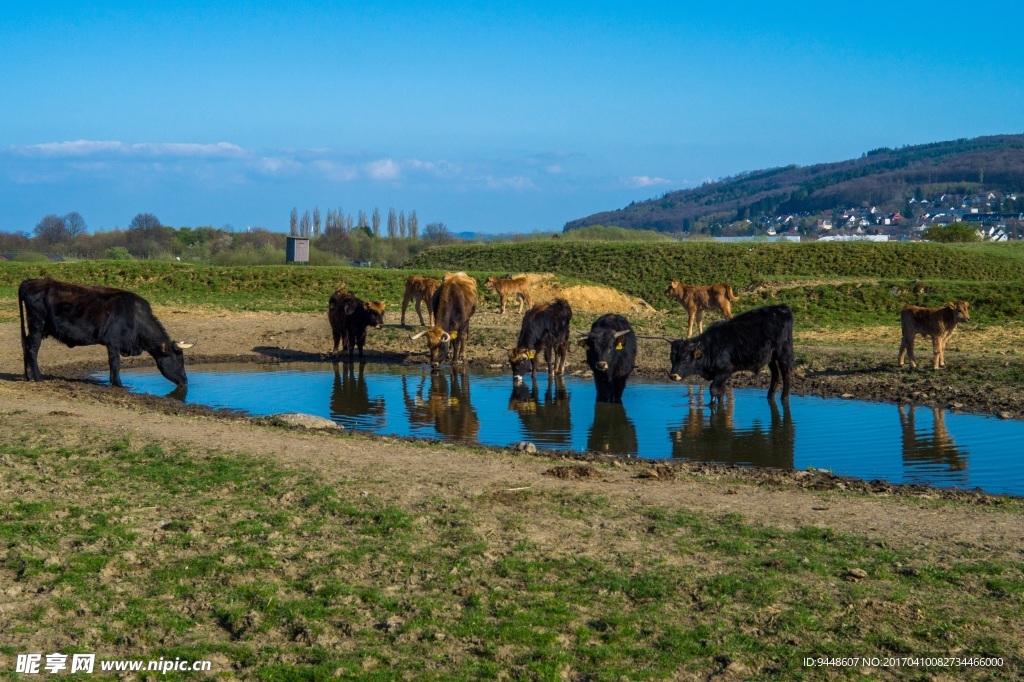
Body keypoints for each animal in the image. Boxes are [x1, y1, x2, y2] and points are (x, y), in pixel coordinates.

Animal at [18, 278, 193, 387]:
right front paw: (118, 384)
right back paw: (38, 377)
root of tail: (33, 281)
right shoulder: (113, 342)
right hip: (37, 324)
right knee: (32, 348)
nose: (185, 381)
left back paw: (29, 376)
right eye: (179, 361)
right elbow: (115, 363)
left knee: (26, 346)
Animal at [659, 301, 794, 401]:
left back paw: (784, 397)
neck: (710, 347)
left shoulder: (726, 370)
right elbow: (720, 392)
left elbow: (714, 390)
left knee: (786, 373)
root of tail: (781, 308)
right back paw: (770, 396)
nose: (673, 375)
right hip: (771, 357)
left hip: (783, 351)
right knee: (775, 374)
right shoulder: (719, 375)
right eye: (671, 358)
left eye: (685, 358)